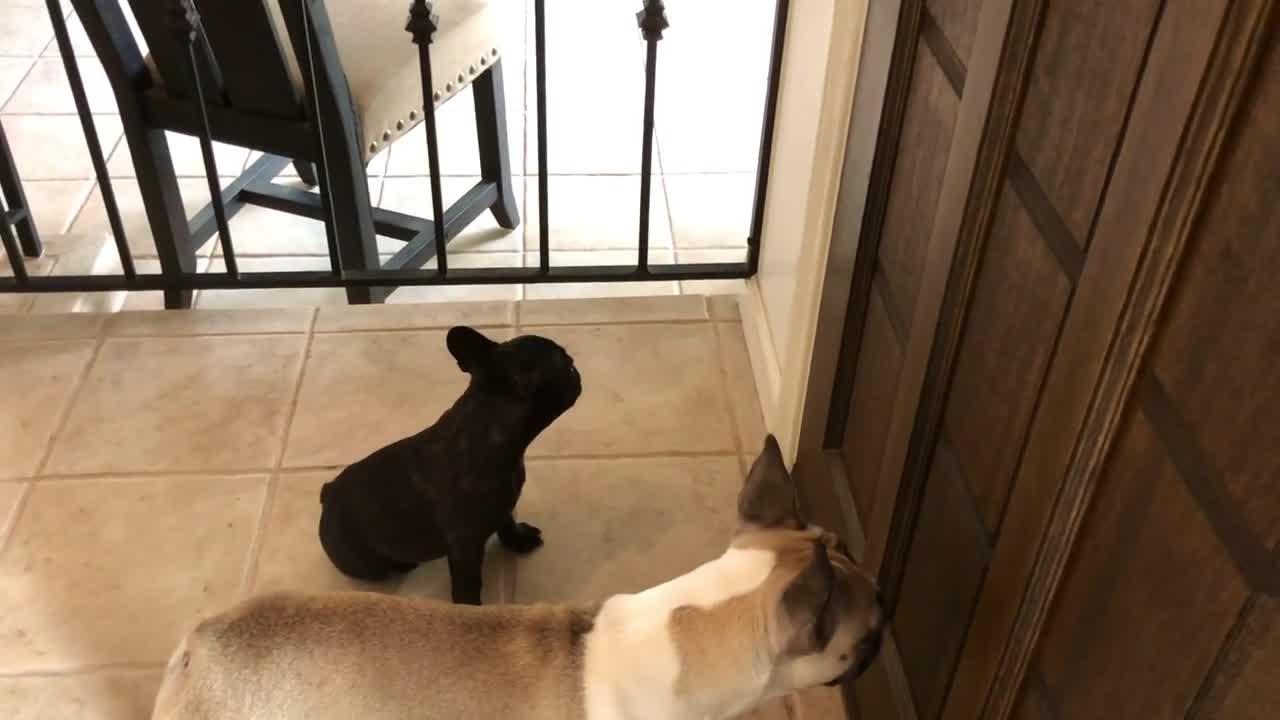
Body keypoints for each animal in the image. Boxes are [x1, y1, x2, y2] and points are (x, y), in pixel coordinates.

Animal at [317, 324, 583, 599]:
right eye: (565, 363)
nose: (575, 365)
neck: (487, 432)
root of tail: (328, 494)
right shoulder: (464, 547)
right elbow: (467, 584)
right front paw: (470, 606)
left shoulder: (503, 505)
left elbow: (506, 522)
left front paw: (517, 539)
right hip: (365, 562)